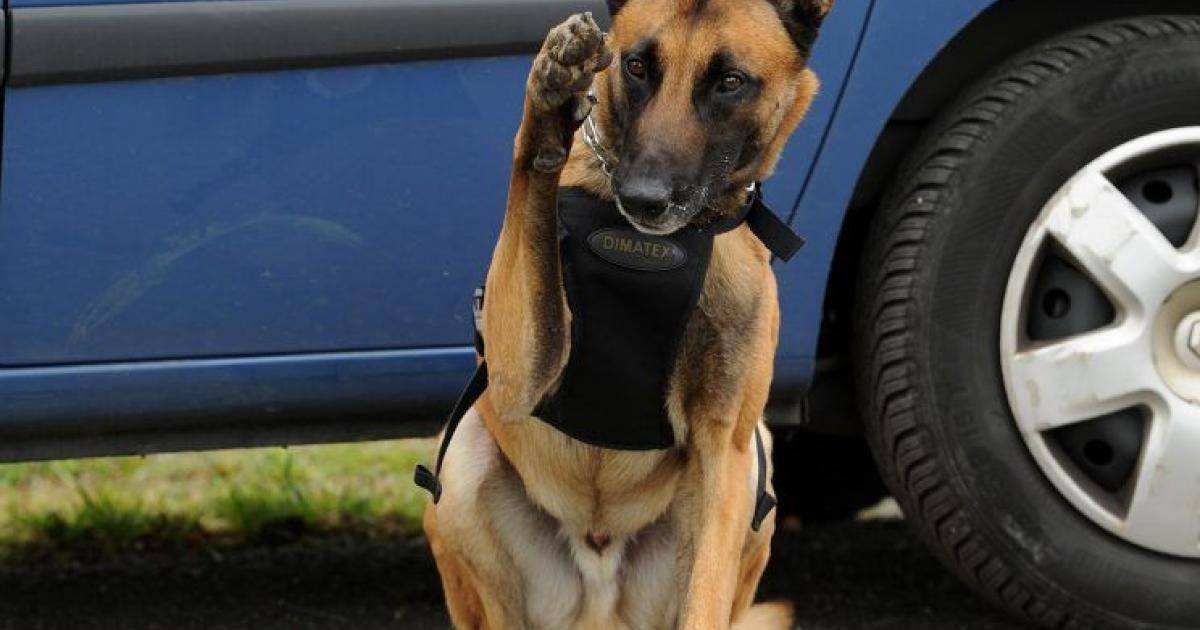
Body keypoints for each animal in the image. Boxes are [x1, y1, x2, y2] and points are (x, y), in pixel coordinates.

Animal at [424, 2, 835, 624]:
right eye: (638, 66)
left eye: (730, 82)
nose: (643, 199)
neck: (654, 251)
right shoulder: (519, 377)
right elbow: (529, 191)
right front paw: (550, 100)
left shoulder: (723, 448)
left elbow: (705, 600)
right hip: (463, 461)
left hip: (754, 470)